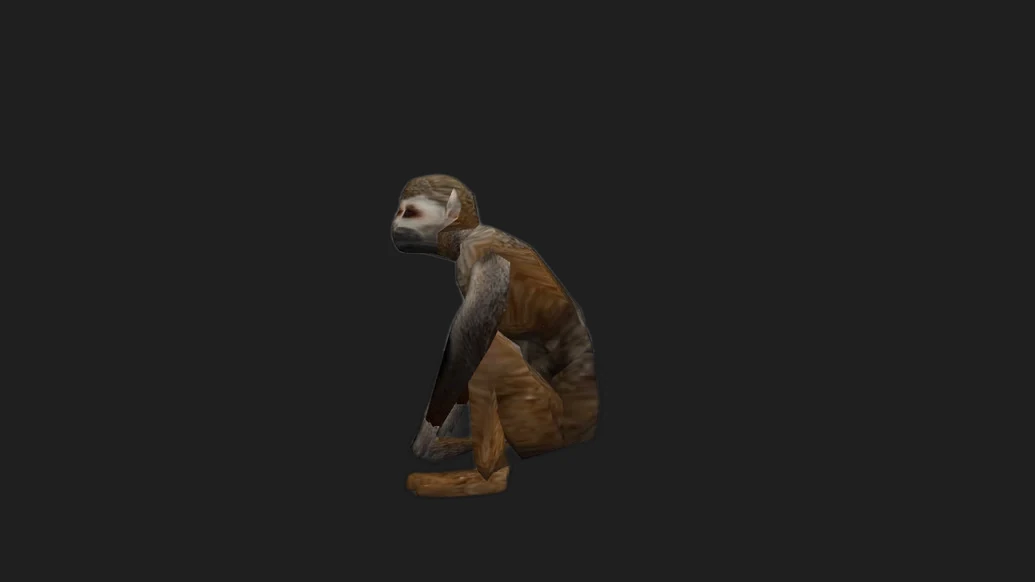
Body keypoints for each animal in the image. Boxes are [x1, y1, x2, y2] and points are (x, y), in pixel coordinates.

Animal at [390, 174, 598, 497]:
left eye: (409, 213)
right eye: (400, 212)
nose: (394, 224)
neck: (461, 235)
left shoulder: (478, 255)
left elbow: (468, 346)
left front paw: (427, 437)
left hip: (545, 423)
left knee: (493, 356)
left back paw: (488, 477)